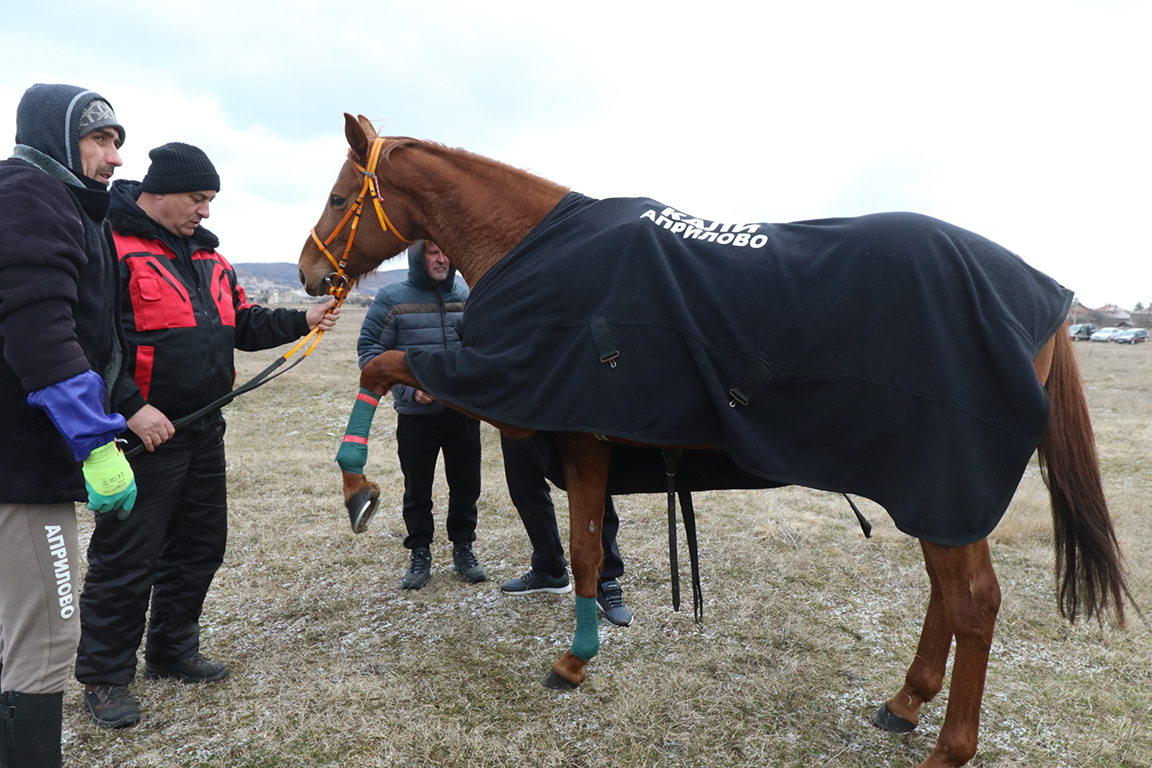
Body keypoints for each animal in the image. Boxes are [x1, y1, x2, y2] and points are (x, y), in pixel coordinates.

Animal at [299, 113, 1133, 768]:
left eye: (340, 197)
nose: (308, 272)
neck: (542, 250)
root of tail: (1043, 295)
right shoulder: (587, 438)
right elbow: (589, 551)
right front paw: (580, 659)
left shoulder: (551, 418)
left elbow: (382, 365)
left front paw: (358, 484)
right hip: (934, 494)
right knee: (948, 595)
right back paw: (905, 702)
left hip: (947, 482)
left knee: (974, 602)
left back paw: (947, 748)